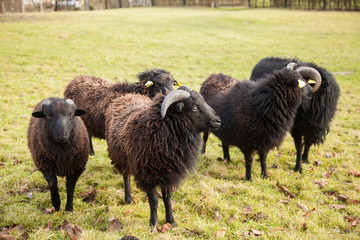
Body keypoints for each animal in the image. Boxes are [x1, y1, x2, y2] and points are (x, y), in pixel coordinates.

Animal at [105, 86, 221, 229]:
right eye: (194, 108)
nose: (218, 121)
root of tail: (126, 96)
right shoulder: (148, 175)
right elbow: (154, 201)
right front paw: (153, 224)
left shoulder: (169, 174)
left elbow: (168, 199)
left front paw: (171, 221)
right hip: (120, 158)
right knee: (126, 177)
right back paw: (128, 199)